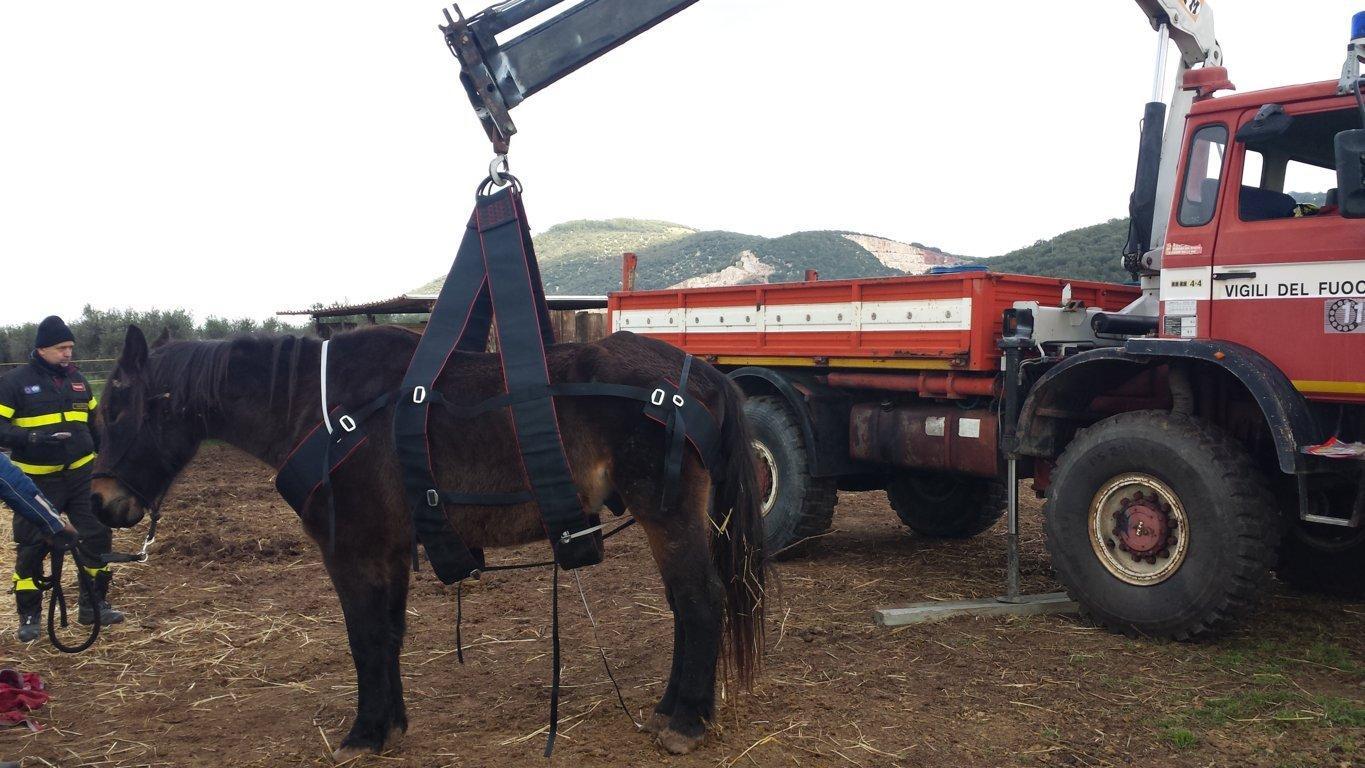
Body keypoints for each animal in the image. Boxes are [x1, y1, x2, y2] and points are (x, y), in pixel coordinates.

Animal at [89, 324, 766, 758]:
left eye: (116, 411)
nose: (100, 501)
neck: (323, 409)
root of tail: (704, 375)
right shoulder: (387, 551)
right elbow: (387, 636)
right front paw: (389, 724)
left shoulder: (352, 552)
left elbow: (364, 639)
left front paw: (364, 733)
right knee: (684, 609)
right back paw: (669, 709)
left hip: (668, 517)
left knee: (699, 603)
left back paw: (686, 721)